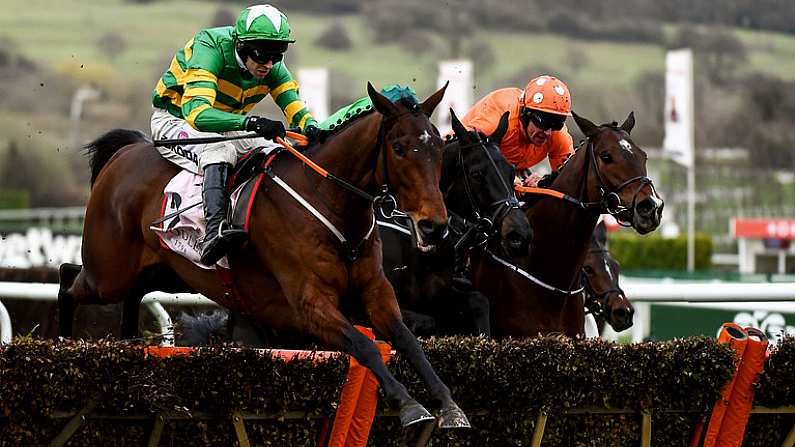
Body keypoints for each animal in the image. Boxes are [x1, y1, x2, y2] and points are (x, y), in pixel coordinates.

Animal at [62, 84, 472, 430]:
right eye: (399, 148)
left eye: (438, 148)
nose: (435, 226)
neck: (329, 200)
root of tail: (127, 150)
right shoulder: (310, 304)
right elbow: (365, 345)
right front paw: (409, 405)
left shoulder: (374, 291)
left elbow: (407, 340)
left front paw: (449, 405)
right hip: (108, 273)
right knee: (68, 279)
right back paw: (67, 345)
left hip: (166, 271)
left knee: (129, 291)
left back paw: (129, 344)